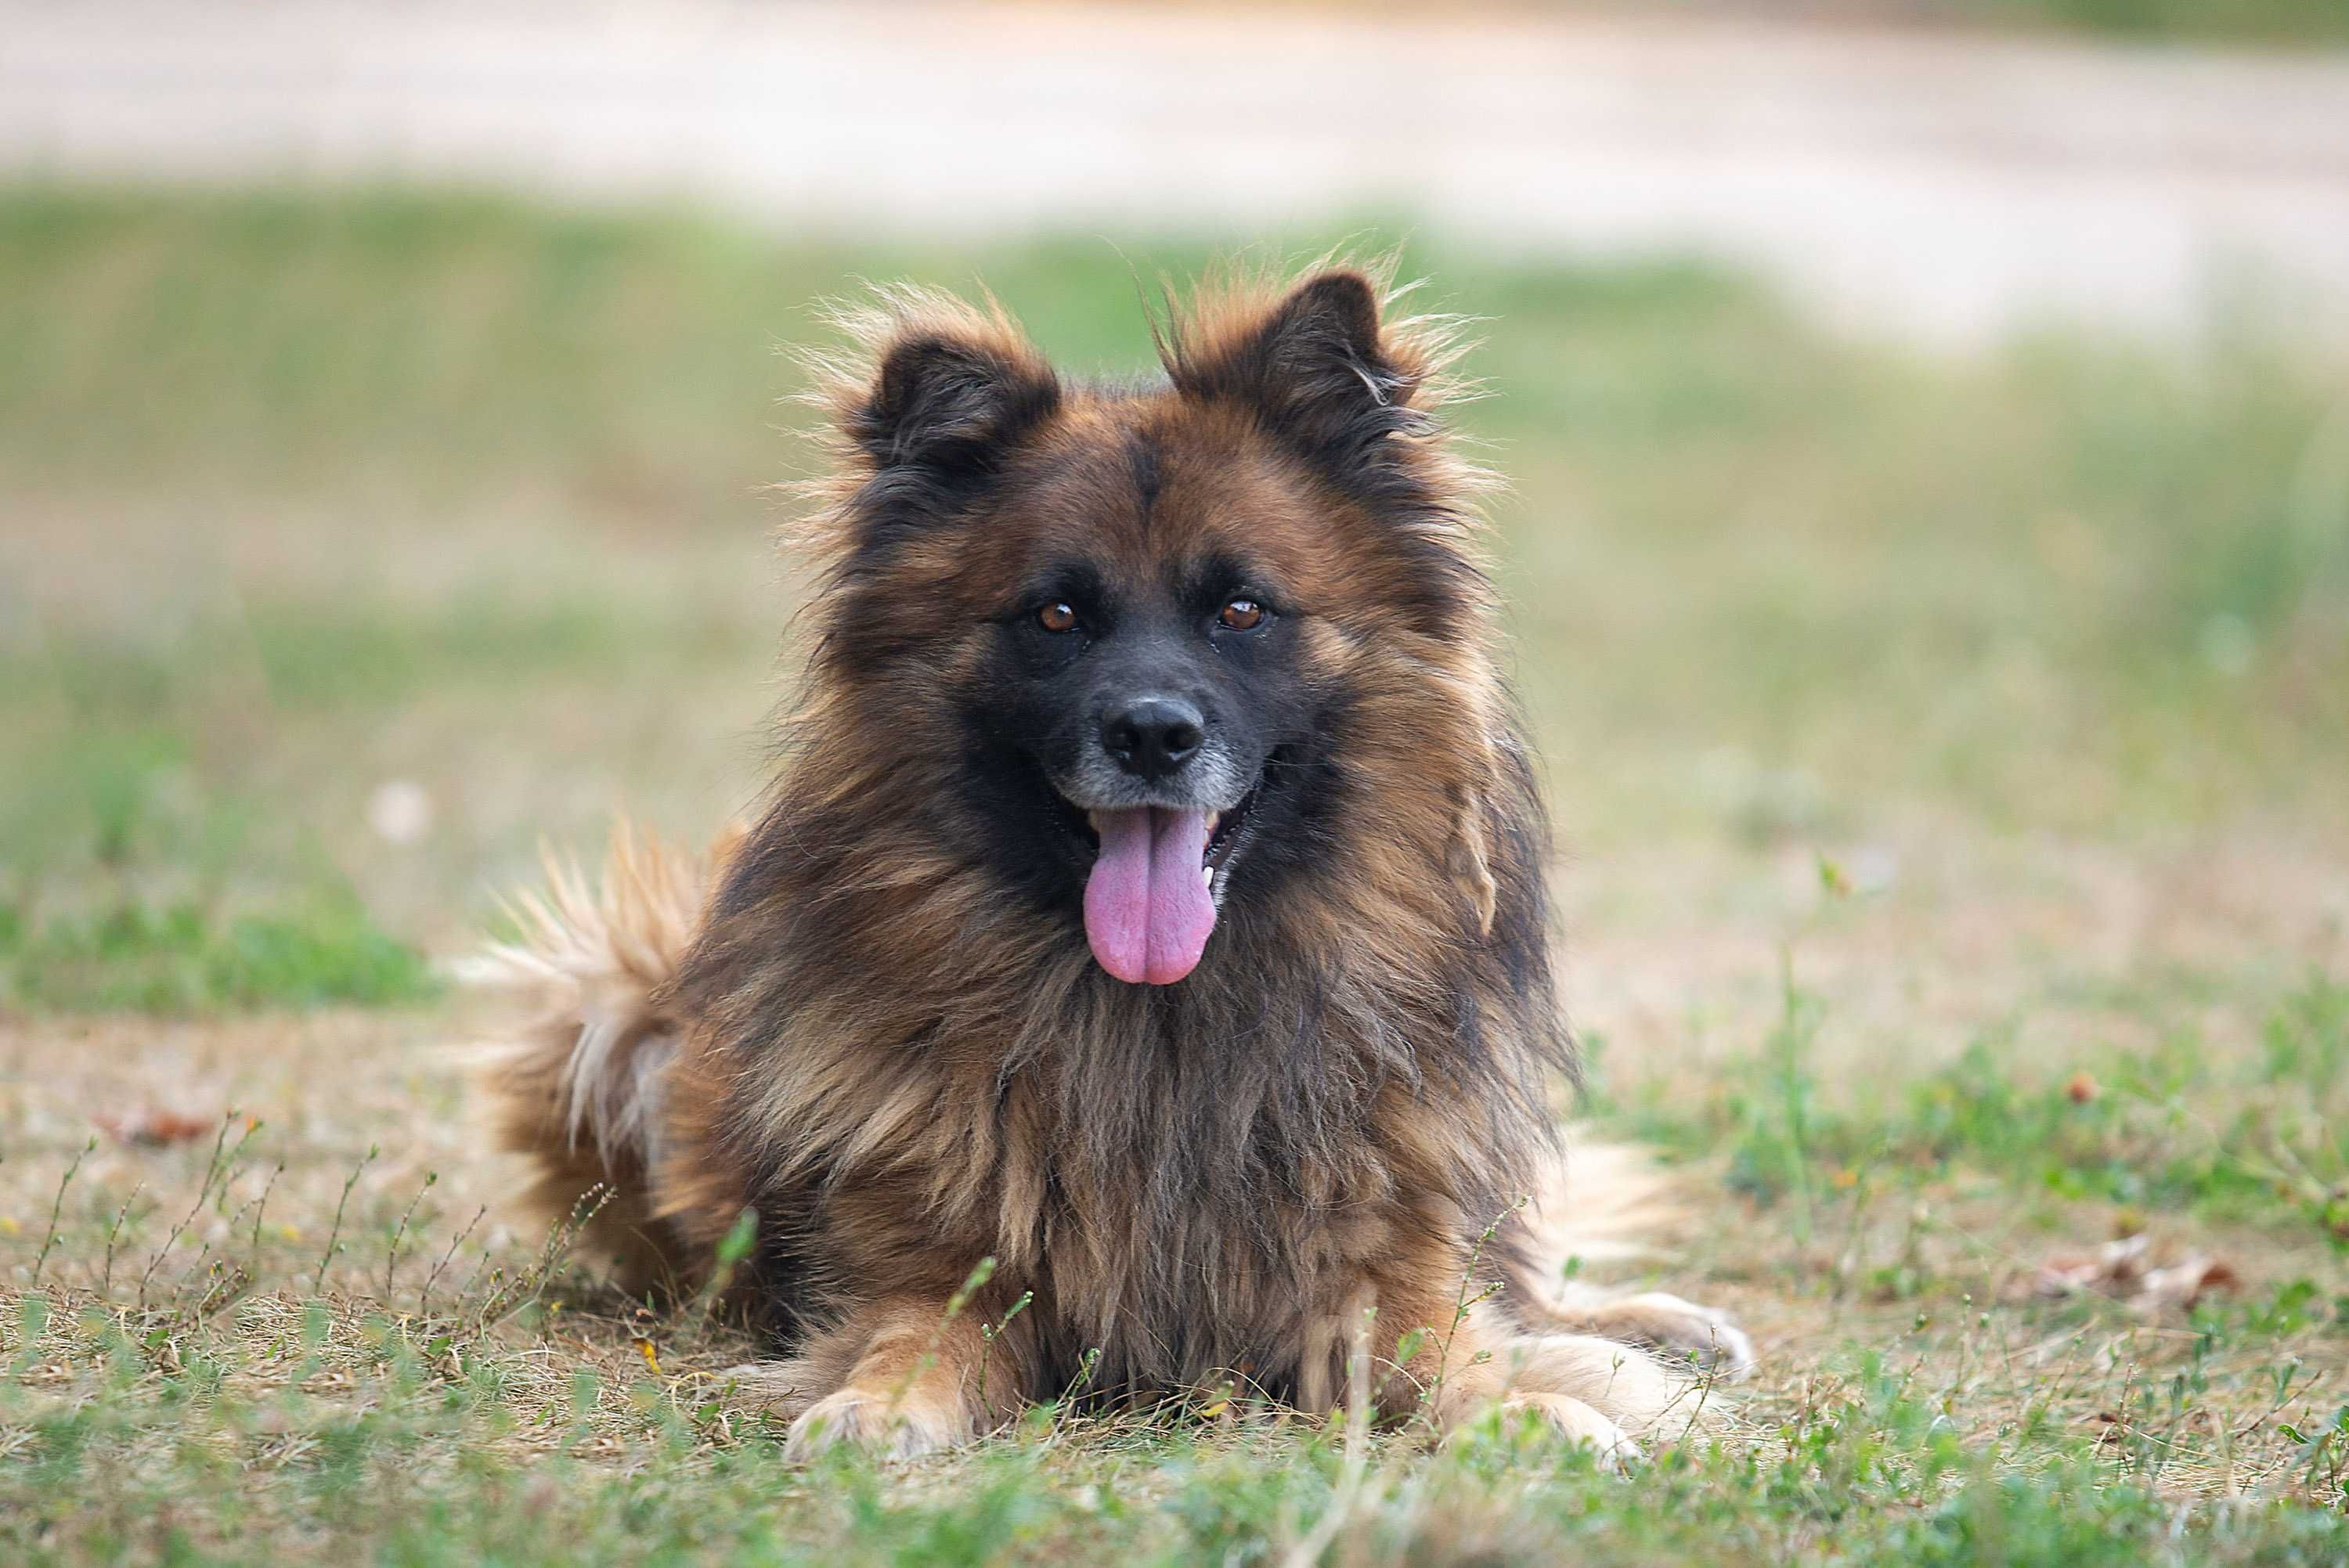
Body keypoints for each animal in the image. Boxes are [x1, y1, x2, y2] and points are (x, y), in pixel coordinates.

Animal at [472, 266, 1748, 1455]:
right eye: (1055, 616)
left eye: (1241, 609)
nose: (1150, 734)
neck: (1157, 1024)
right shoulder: (935, 1266)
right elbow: (909, 1339)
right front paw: (871, 1407)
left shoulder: (1381, 1267)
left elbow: (1457, 1352)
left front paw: (1533, 1409)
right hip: (608, 1002)